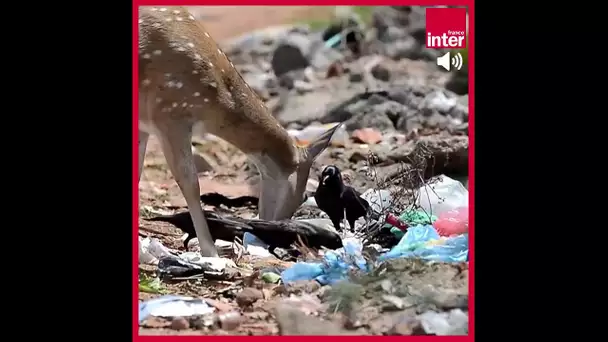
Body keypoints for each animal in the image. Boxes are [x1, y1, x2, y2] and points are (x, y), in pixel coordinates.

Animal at [138, 6, 340, 256]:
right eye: (304, 196)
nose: (278, 230)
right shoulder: (169, 114)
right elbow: (191, 183)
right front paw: (210, 252)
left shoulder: (145, 124)